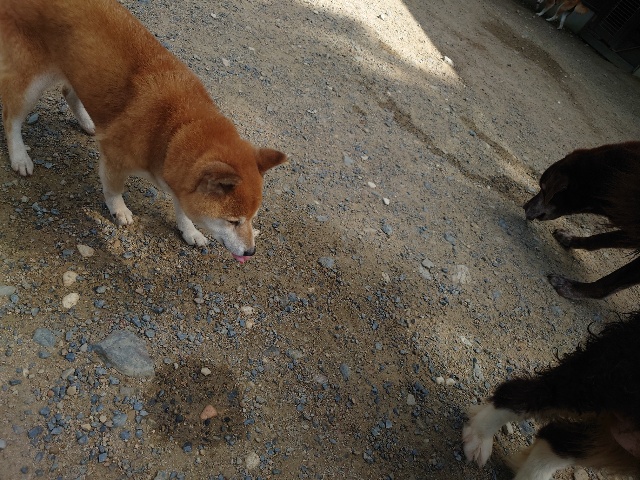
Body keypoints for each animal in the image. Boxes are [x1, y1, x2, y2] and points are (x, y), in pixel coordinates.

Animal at [0, 0, 286, 262]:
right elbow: (113, 189)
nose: (251, 252)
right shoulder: (115, 157)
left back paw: (88, 122)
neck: (174, 129)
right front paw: (119, 210)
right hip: (32, 81)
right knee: (11, 119)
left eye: (252, 219)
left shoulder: (179, 178)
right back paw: (20, 157)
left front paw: (190, 231)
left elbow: (183, 209)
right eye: (233, 221)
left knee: (68, 92)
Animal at [524, 142, 640, 299]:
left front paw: (571, 287)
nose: (525, 206)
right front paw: (569, 238)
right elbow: (600, 239)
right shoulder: (632, 227)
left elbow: (611, 280)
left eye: (543, 189)